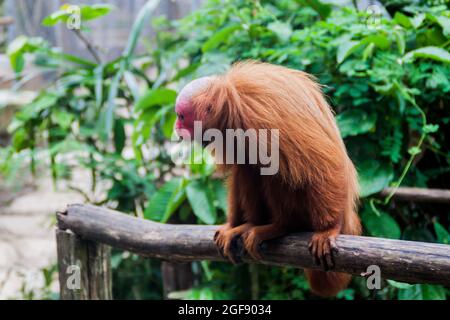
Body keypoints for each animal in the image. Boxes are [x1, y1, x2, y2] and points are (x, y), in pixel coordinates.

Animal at [173, 60, 362, 298]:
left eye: (181, 116)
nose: (176, 128)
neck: (232, 101)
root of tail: (347, 216)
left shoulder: (263, 112)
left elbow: (323, 162)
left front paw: (328, 230)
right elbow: (242, 167)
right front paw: (233, 224)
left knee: (278, 167)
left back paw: (283, 226)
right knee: (251, 167)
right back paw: (251, 224)